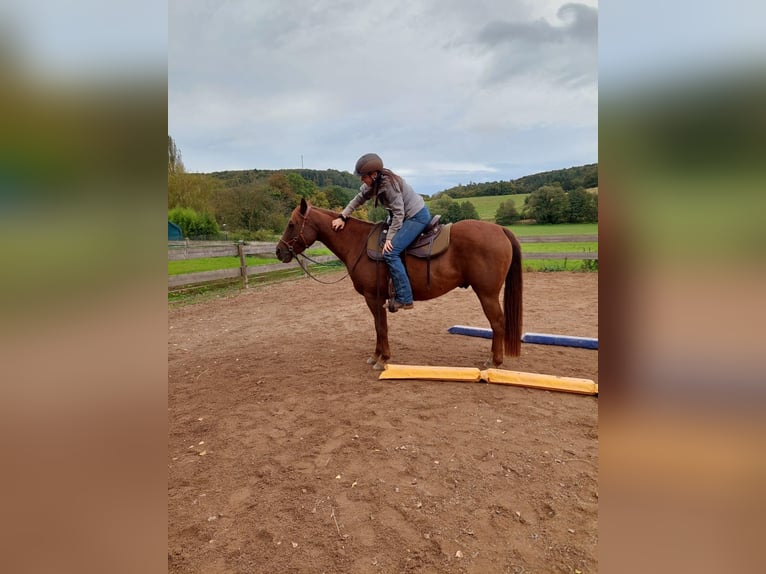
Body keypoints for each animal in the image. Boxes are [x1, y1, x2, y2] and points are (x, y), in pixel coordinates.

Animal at [276, 198, 522, 370]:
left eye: (291, 224)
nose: (279, 251)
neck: (358, 243)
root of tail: (500, 229)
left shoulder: (373, 297)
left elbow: (381, 327)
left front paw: (383, 359)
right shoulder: (376, 299)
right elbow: (378, 326)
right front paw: (376, 356)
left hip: (487, 293)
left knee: (498, 323)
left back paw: (495, 362)